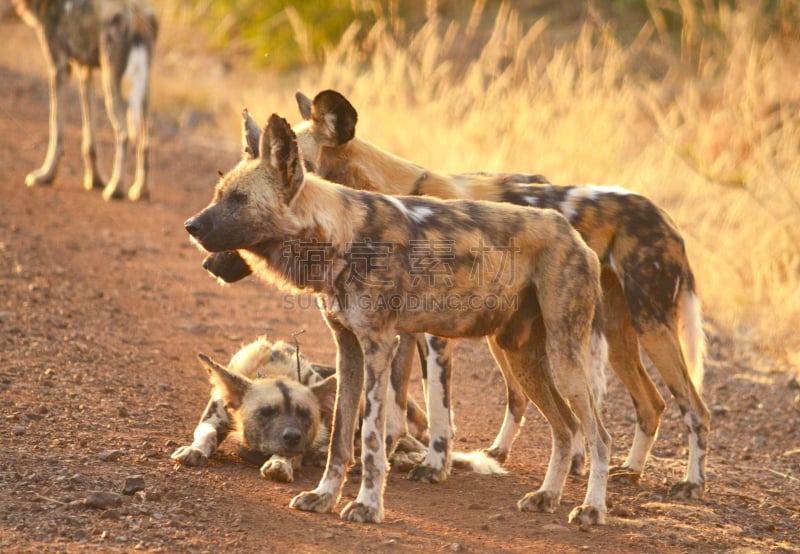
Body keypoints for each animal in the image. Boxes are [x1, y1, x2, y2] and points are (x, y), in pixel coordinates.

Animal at [12, 0, 158, 202]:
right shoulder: (85, 70)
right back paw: (140, 190)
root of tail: (136, 10)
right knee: (146, 139)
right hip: (144, 83)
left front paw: (46, 176)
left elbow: (56, 129)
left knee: (123, 132)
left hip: (110, 79)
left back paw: (115, 189)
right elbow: (90, 139)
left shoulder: (59, 67)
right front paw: (95, 180)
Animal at [173, 334, 504, 480]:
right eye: (266, 412)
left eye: (305, 416)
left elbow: (293, 454)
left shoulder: (308, 437)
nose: (291, 436)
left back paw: (409, 459)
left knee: (417, 446)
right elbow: (205, 435)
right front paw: (194, 450)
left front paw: (280, 464)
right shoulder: (214, 418)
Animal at [208, 89, 712, 496]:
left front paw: (429, 464)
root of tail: (663, 215)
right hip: (590, 336)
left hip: (645, 330)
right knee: (648, 403)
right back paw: (619, 468)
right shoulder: (402, 333)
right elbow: (393, 408)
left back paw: (688, 482)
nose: (209, 263)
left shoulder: (431, 336)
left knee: (692, 407)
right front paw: (385, 456)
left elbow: (435, 409)